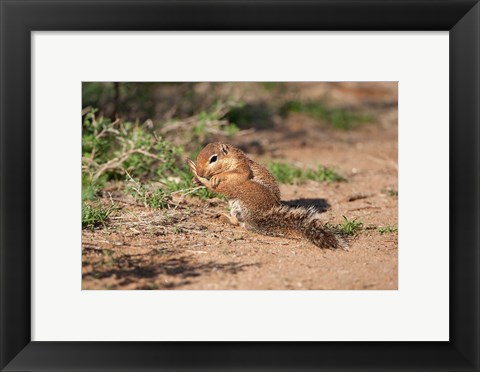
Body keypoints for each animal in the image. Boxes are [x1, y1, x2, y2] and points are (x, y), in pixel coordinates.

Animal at [187, 142, 342, 250]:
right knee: (238, 222)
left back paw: (204, 179)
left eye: (213, 158)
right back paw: (223, 216)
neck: (232, 157)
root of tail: (259, 215)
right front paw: (195, 180)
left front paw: (213, 177)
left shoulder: (242, 167)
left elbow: (237, 173)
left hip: (243, 187)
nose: (200, 172)